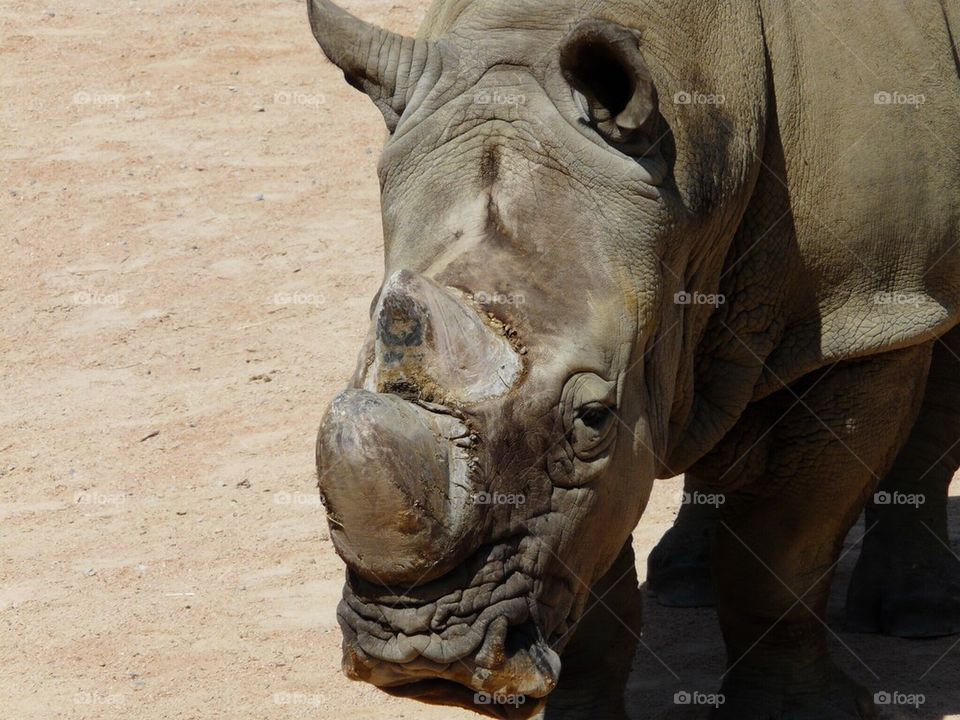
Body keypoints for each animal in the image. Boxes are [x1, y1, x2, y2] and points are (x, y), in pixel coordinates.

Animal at [309, 0, 960, 717]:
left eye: (592, 418)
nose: (420, 657)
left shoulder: (862, 318)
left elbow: (784, 548)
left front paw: (799, 711)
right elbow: (596, 566)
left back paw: (919, 619)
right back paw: (685, 579)